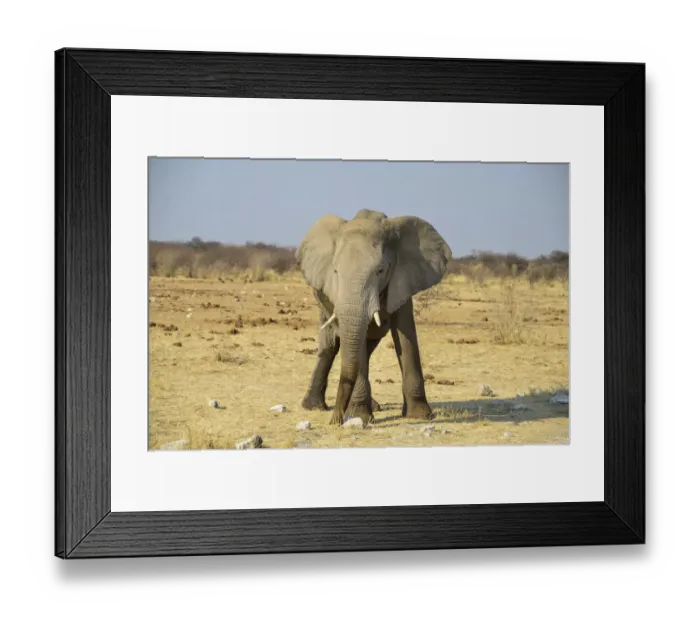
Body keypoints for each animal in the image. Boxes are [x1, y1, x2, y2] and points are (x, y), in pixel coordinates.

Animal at [296, 209, 452, 427]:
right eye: (335, 271)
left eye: (380, 271)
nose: (335, 421)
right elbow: (356, 342)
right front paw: (360, 417)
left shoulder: (402, 279)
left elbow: (406, 335)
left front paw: (420, 415)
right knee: (331, 346)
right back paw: (313, 406)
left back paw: (373, 406)